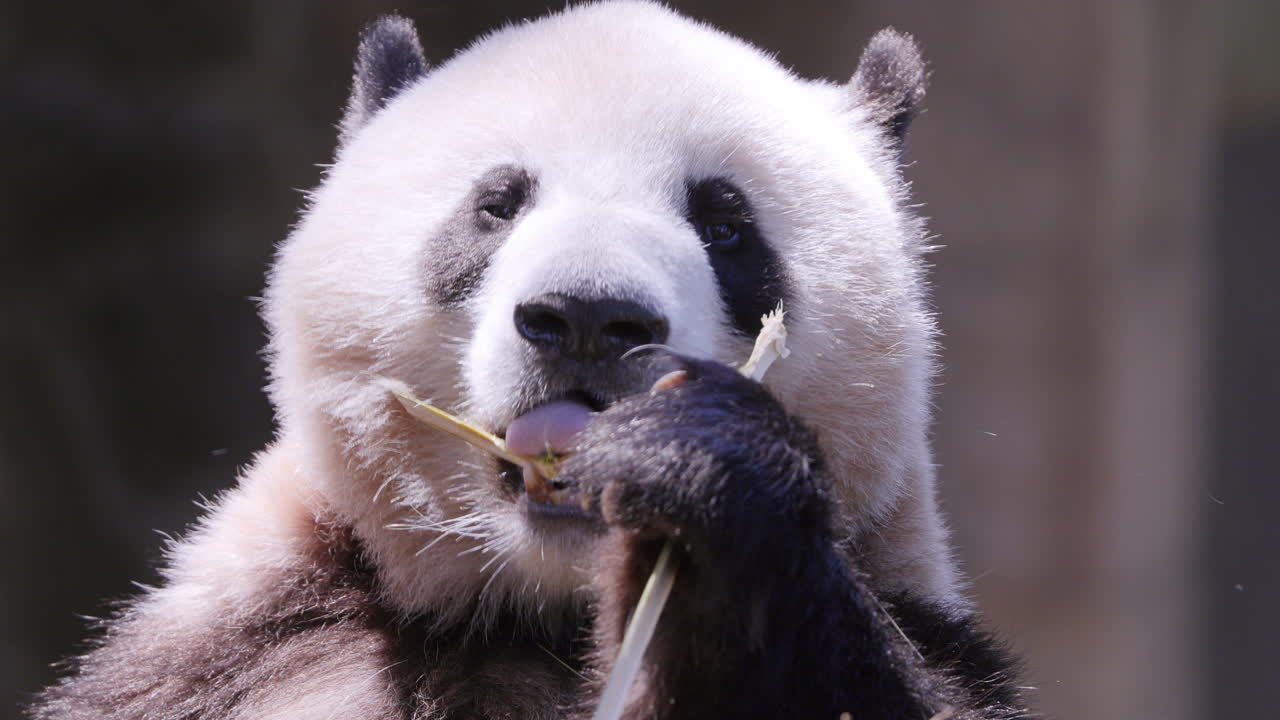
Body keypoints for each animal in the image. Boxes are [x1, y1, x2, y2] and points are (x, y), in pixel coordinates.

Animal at [32, 2, 1029, 719]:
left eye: (725, 223)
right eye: (498, 204)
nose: (587, 318)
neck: (536, 610)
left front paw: (699, 475)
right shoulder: (247, 652)